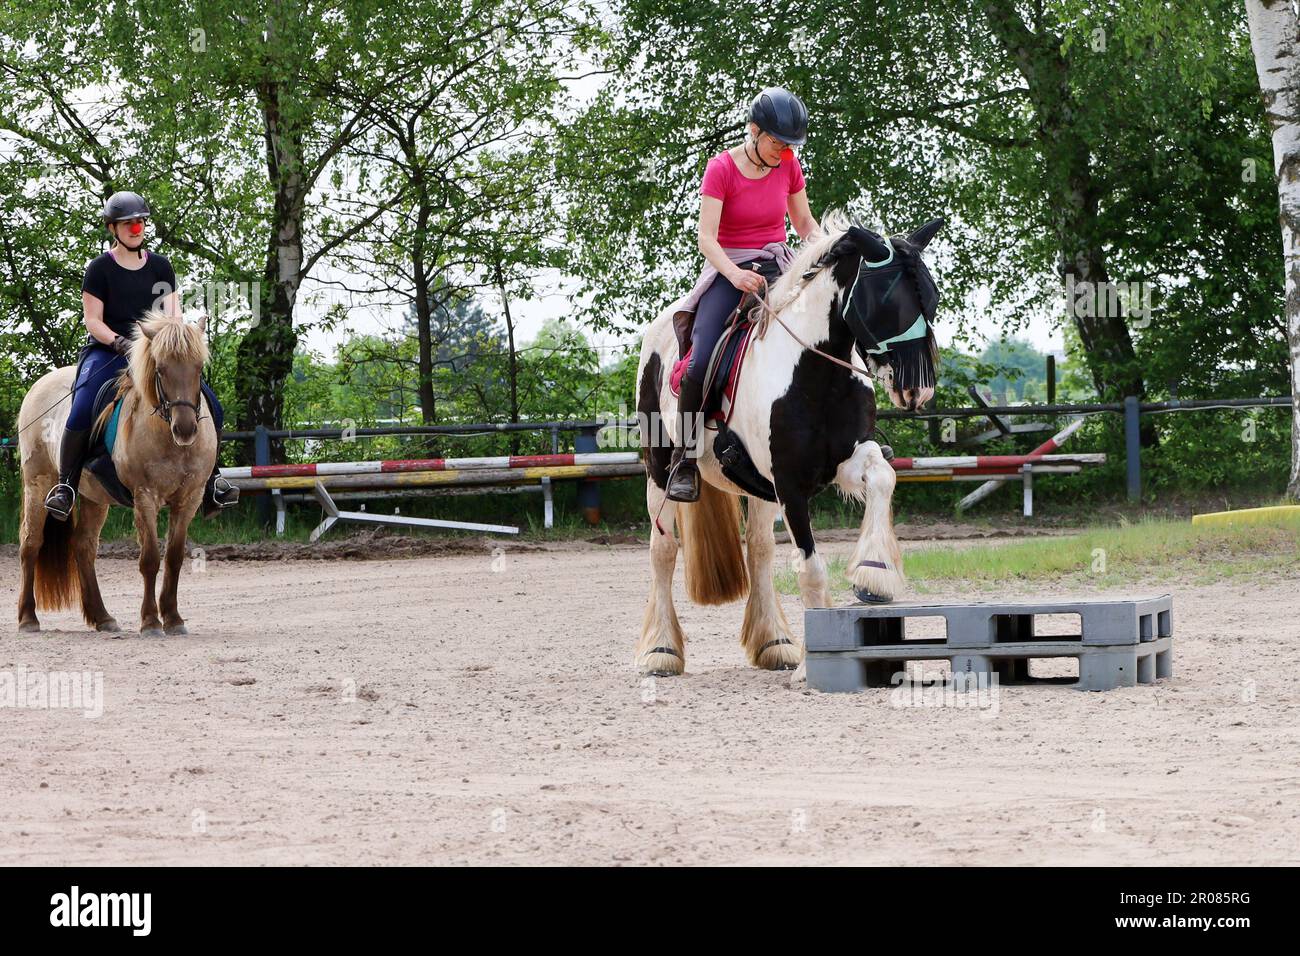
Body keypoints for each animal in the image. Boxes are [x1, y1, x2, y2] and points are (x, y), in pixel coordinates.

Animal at [16, 312, 217, 636]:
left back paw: (102, 617)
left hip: (94, 497)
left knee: (84, 546)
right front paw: (150, 622)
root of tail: (40, 384)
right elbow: (150, 559)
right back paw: (28, 618)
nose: (185, 430)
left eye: (199, 367)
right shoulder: (145, 496)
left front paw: (173, 619)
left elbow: (174, 557)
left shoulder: (189, 497)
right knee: (31, 543)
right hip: (38, 483)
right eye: (160, 369)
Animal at [634, 212, 943, 677]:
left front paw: (874, 571)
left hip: (756, 490)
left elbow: (882, 476)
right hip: (660, 473)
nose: (918, 390)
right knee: (663, 551)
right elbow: (811, 568)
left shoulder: (844, 460)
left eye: (932, 298)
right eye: (886, 301)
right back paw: (661, 651)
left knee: (759, 552)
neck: (814, 371)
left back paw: (774, 643)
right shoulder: (791, 484)